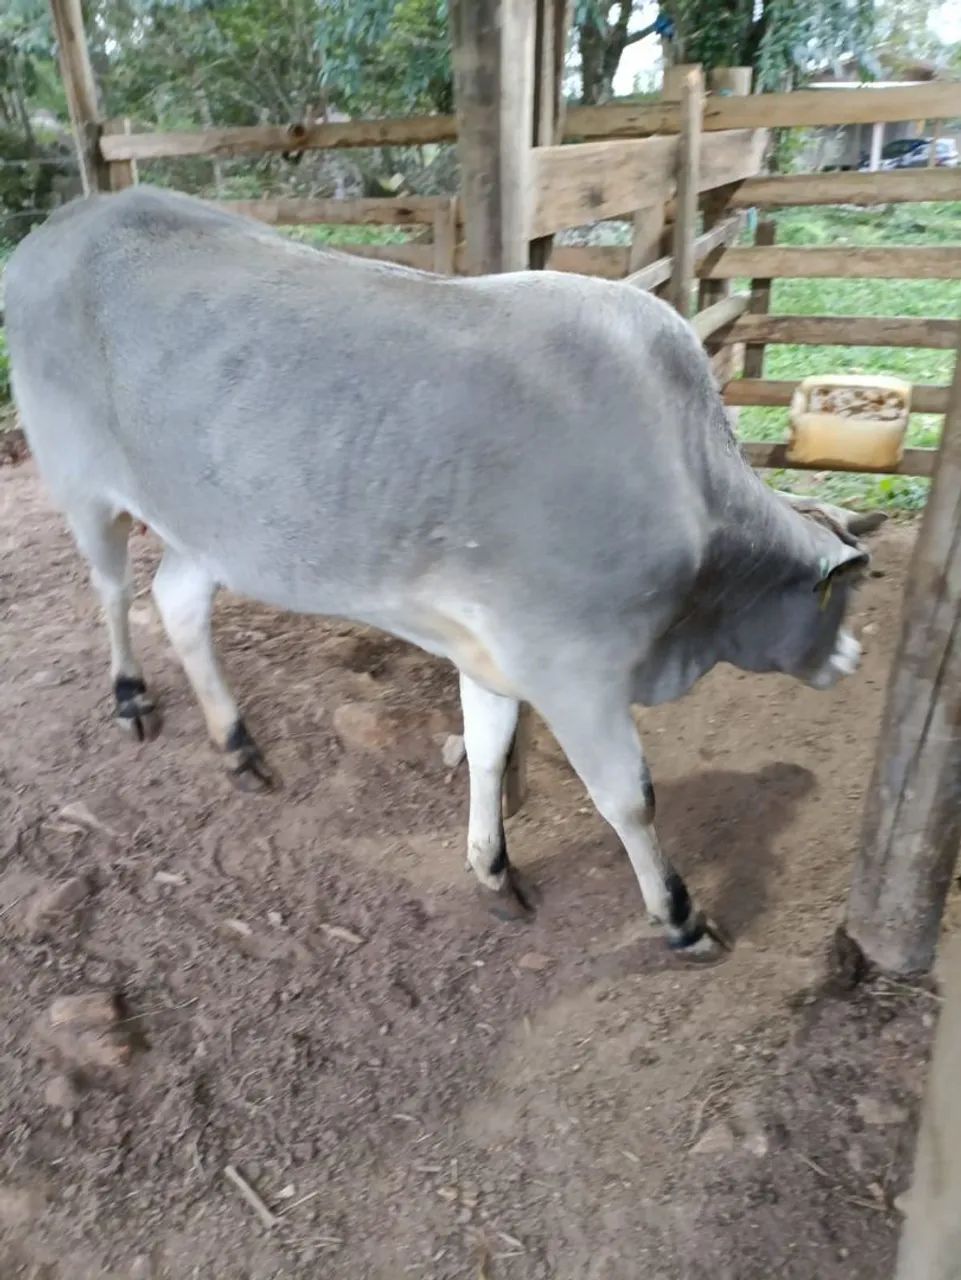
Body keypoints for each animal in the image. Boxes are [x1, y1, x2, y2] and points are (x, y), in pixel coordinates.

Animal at [4, 186, 876, 963]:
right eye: (839, 600)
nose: (853, 656)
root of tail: (60, 227)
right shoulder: (574, 669)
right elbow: (629, 798)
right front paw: (680, 917)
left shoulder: (492, 654)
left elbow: (487, 753)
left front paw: (492, 867)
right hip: (84, 488)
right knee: (115, 592)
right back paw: (131, 695)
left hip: (207, 526)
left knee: (177, 602)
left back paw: (238, 745)